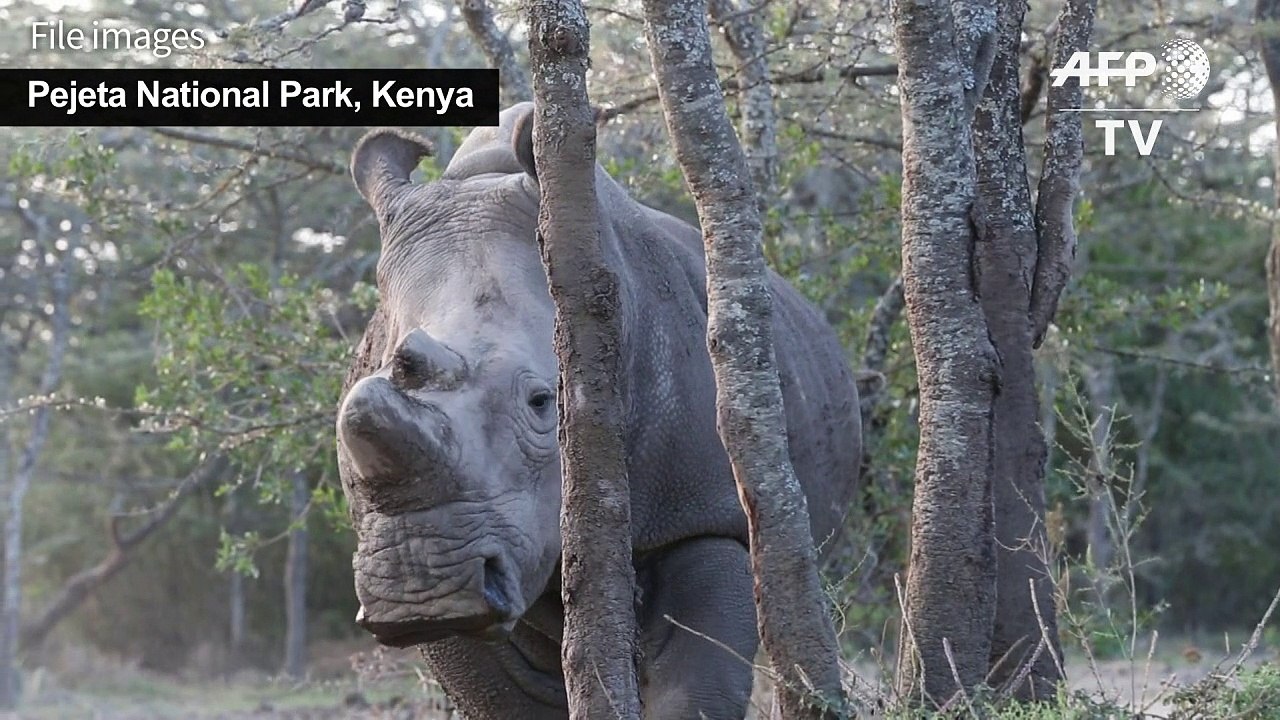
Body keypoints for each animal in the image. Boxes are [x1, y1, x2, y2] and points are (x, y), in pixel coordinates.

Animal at [336, 102, 861, 720]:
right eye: (346, 414)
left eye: (543, 403)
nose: (419, 582)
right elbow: (508, 697)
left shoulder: (702, 510)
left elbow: (690, 689)